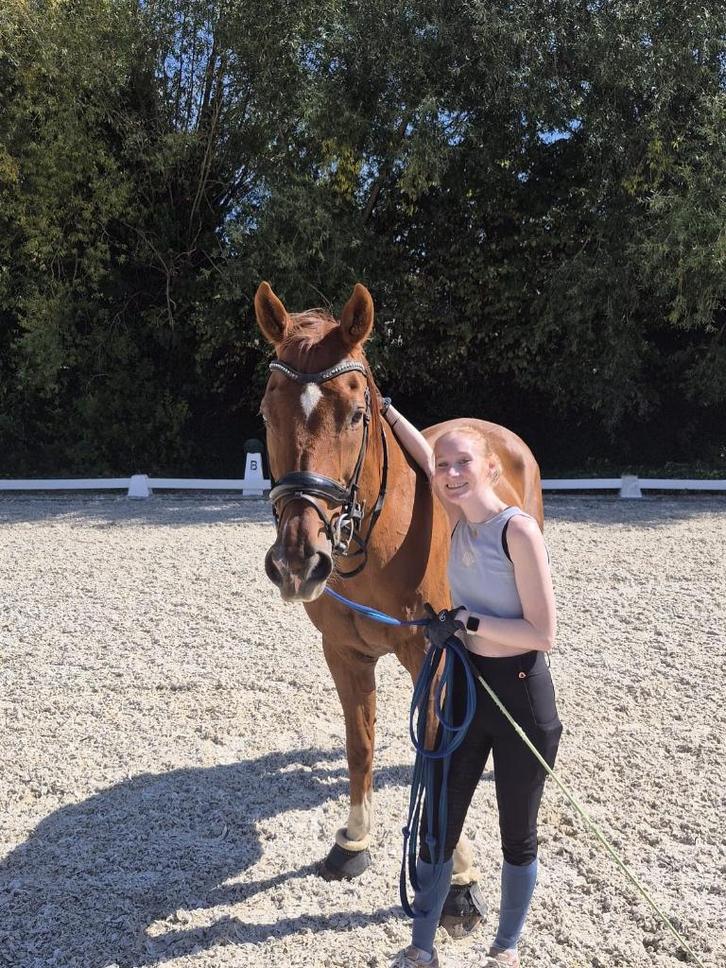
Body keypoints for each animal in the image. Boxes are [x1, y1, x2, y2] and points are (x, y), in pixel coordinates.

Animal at [255, 280, 544, 932]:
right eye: (266, 412)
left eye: (358, 415)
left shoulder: (430, 656)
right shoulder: (344, 655)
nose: (298, 562)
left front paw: (456, 881)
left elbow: (437, 760)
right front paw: (352, 843)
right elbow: (359, 744)